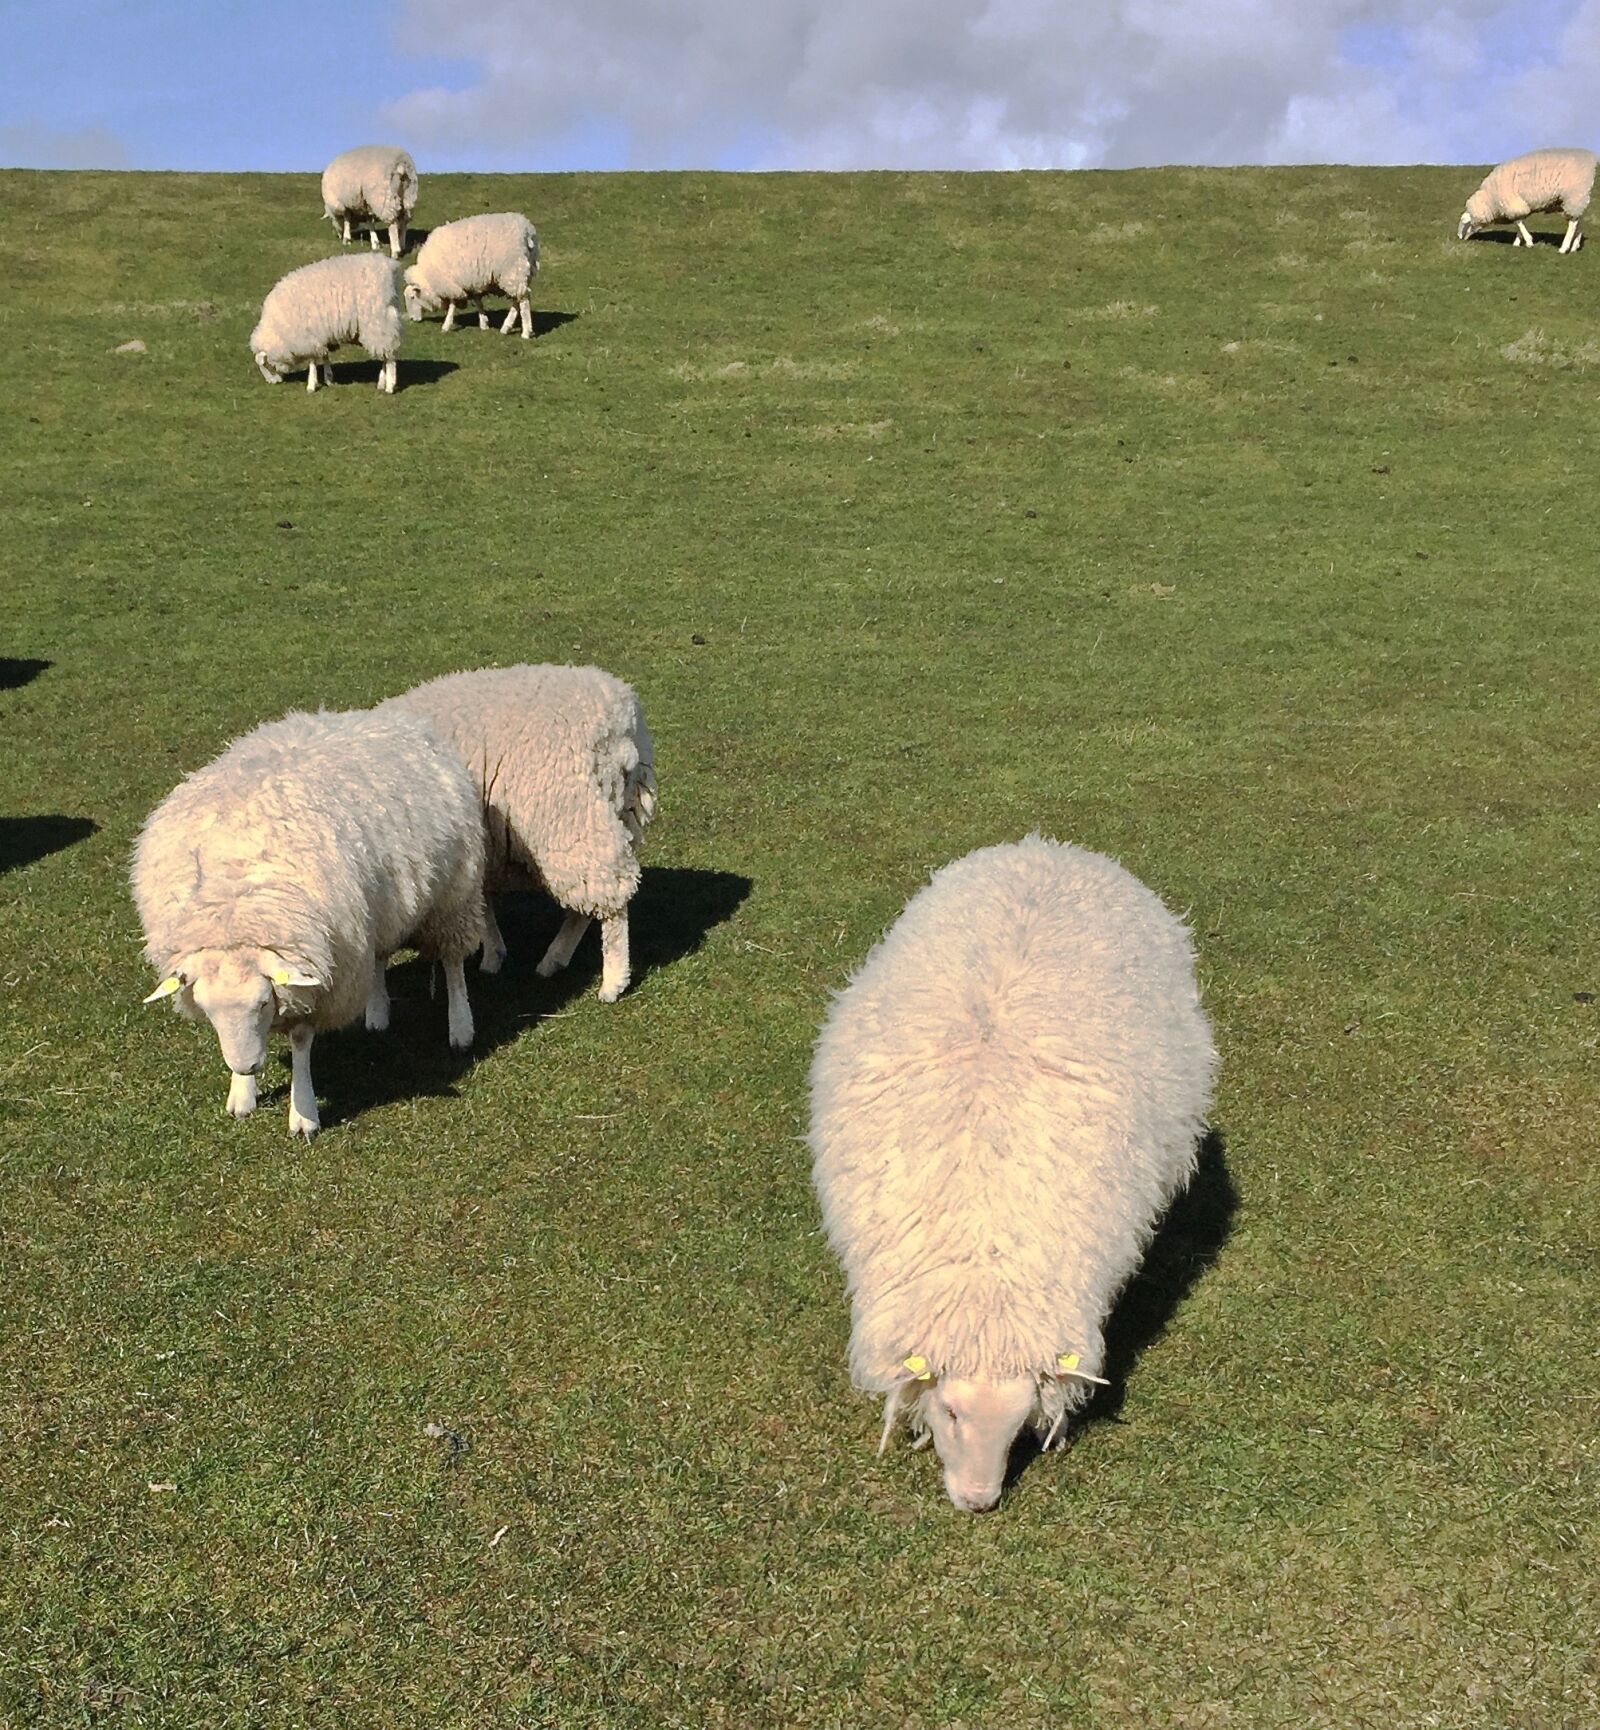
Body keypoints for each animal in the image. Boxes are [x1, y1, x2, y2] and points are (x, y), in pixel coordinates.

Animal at [133, 708, 486, 1139]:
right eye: (207, 1009)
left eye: (263, 1002)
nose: (246, 1065)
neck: (234, 910)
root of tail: (389, 717)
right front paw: (242, 1093)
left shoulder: (319, 981)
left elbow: (301, 1043)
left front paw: (303, 1114)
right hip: (376, 911)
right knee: (379, 955)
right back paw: (377, 1012)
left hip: (455, 893)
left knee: (452, 962)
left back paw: (460, 1026)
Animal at [249, 253, 404, 394]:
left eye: (266, 365)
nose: (272, 382)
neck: (279, 329)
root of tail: (389, 267)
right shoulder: (320, 335)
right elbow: (324, 356)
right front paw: (329, 378)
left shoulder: (309, 336)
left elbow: (312, 361)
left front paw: (311, 385)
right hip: (383, 325)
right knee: (385, 355)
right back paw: (381, 382)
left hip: (379, 322)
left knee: (390, 358)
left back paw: (389, 386)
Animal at [377, 664, 655, 1002]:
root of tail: (621, 729)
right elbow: (484, 904)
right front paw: (493, 954)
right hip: (618, 816)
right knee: (590, 901)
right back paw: (555, 959)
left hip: (572, 820)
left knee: (612, 899)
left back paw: (613, 981)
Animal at [402, 213, 541, 339]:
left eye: (412, 297)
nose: (412, 319)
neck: (429, 278)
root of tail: (528, 232)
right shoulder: (471, 282)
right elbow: (477, 301)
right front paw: (484, 323)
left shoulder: (452, 283)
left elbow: (453, 304)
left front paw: (446, 325)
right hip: (519, 274)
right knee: (517, 300)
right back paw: (506, 327)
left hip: (513, 271)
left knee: (523, 301)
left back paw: (525, 332)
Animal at [1457, 147, 1598, 252]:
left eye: (1464, 223)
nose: (1460, 238)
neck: (1490, 199)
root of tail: (1590, 158)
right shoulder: (1518, 205)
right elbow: (1519, 221)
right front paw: (1518, 241)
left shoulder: (1512, 203)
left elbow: (1519, 222)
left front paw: (1528, 241)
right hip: (1577, 198)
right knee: (1578, 220)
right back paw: (1574, 246)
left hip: (1573, 195)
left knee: (1573, 223)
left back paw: (1564, 248)